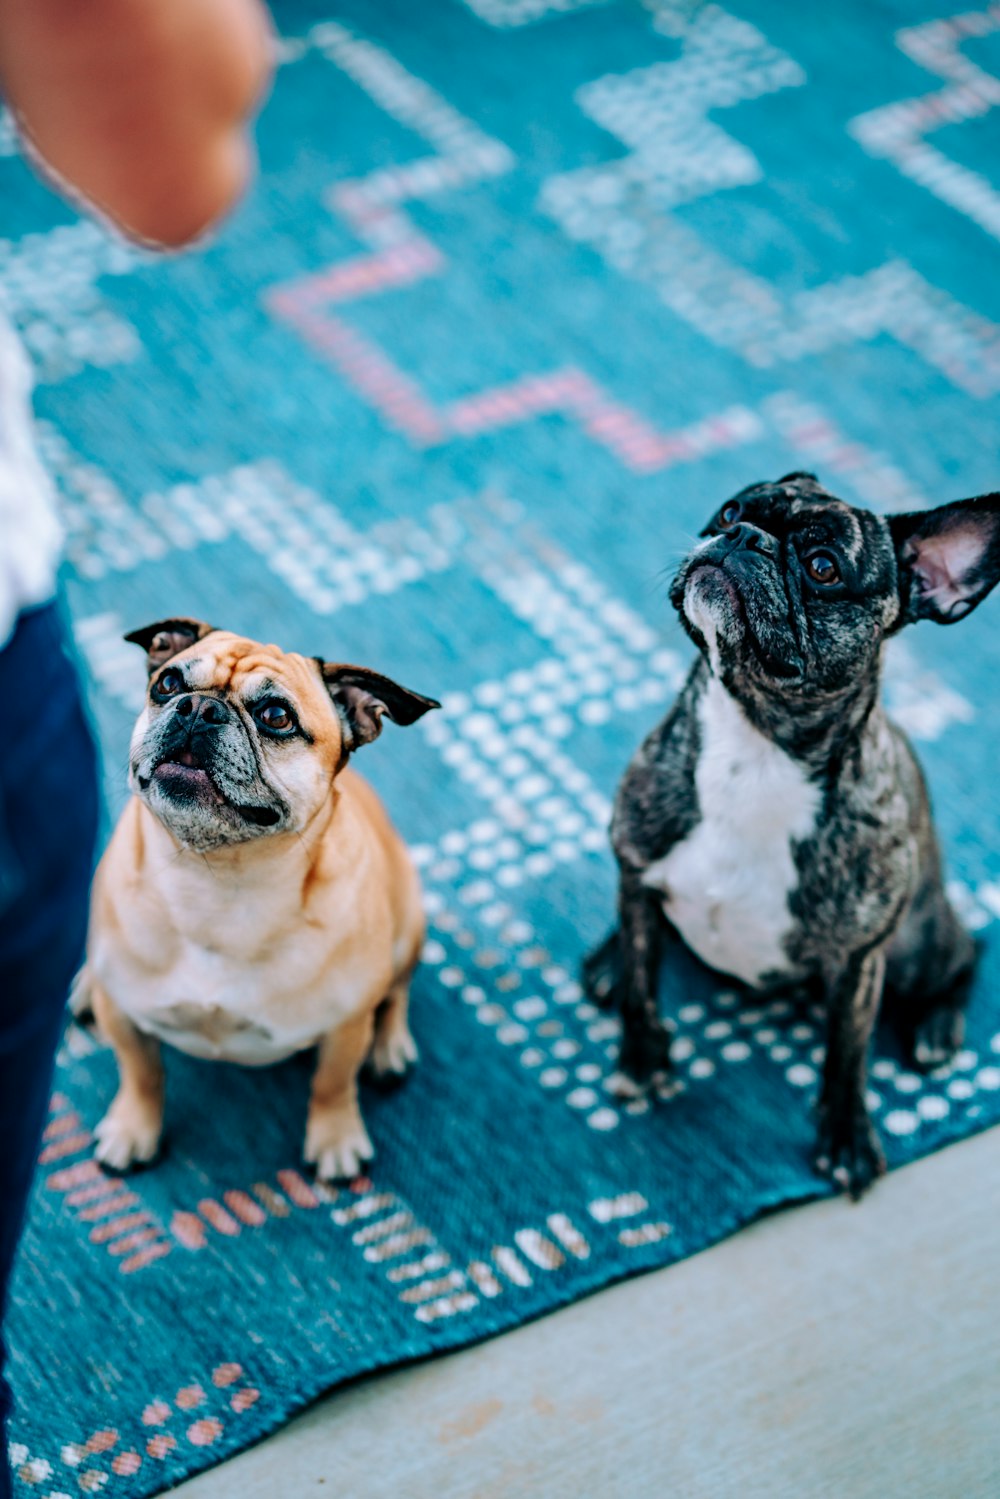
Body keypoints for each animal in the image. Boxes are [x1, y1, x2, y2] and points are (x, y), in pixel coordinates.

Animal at [587, 473, 1000, 1199]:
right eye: (729, 510)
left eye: (823, 566)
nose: (742, 537)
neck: (752, 744)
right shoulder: (636, 870)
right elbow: (641, 987)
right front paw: (641, 1060)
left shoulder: (860, 961)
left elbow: (846, 1055)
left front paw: (846, 1138)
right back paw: (609, 961)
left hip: (916, 945)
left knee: (964, 957)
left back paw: (937, 1027)